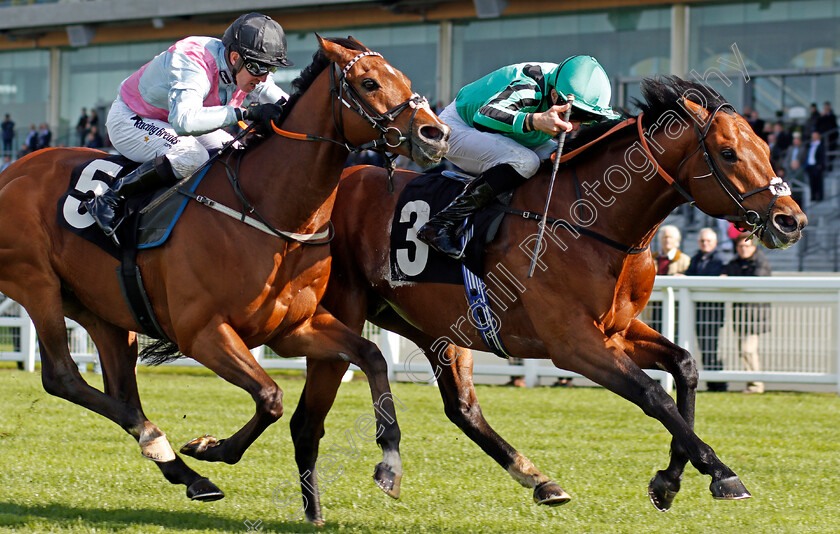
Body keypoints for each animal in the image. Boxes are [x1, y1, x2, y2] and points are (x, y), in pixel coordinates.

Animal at [0, 37, 450, 506]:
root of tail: (13, 170)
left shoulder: (295, 327)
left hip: (101, 310)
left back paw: (181, 469)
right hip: (36, 283)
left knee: (121, 390)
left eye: (406, 79)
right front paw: (212, 448)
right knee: (63, 377)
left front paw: (390, 461)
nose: (435, 134)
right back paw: (155, 438)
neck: (270, 211)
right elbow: (271, 397)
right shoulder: (203, 332)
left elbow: (372, 356)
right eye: (369, 83)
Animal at [290, 76, 808, 524]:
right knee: (312, 414)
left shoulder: (617, 329)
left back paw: (538, 480)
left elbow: (684, 366)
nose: (791, 220)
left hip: (434, 325)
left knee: (462, 408)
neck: (592, 222)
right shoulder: (573, 343)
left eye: (766, 148)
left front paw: (669, 480)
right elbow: (653, 394)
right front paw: (720, 472)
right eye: (728, 153)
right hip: (341, 312)